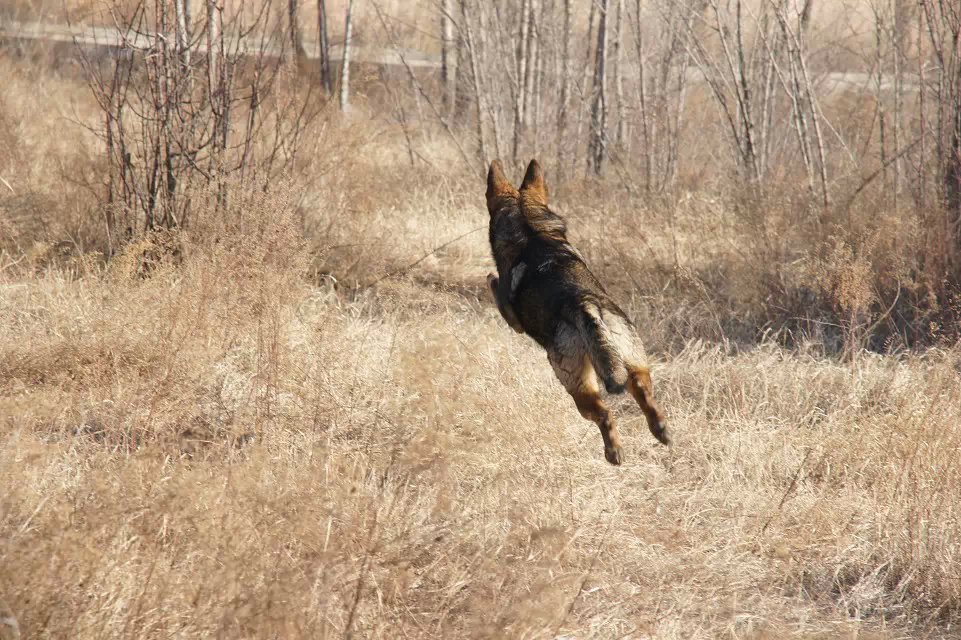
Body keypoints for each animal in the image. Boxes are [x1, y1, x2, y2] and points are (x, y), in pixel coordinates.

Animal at [488, 158, 668, 462]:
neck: (530, 228)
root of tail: (585, 306)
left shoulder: (512, 319)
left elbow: (494, 284)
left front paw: (491, 277)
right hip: (633, 361)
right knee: (644, 394)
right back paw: (661, 430)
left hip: (575, 385)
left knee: (604, 415)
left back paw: (614, 452)